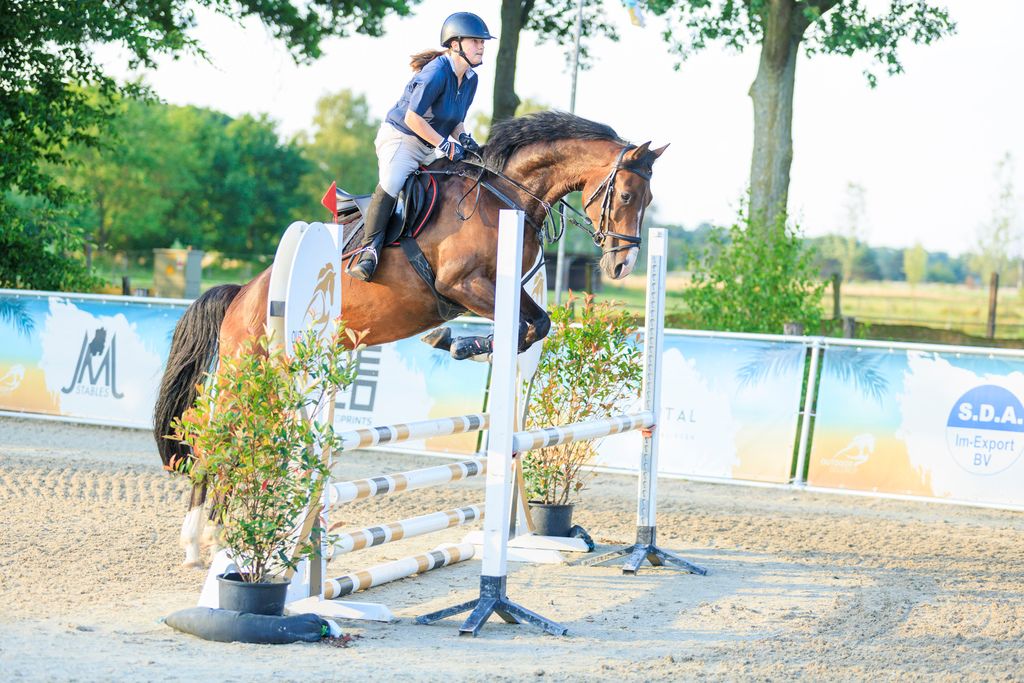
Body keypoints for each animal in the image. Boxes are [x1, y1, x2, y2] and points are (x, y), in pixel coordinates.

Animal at [154, 110, 668, 566]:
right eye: (625, 194)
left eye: (648, 200)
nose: (621, 265)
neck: (505, 197)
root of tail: (243, 292)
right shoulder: (461, 285)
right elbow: (529, 325)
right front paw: (456, 343)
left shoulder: (503, 293)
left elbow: (536, 326)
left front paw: (460, 345)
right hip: (251, 367)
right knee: (217, 439)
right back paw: (201, 541)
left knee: (237, 438)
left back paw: (218, 536)